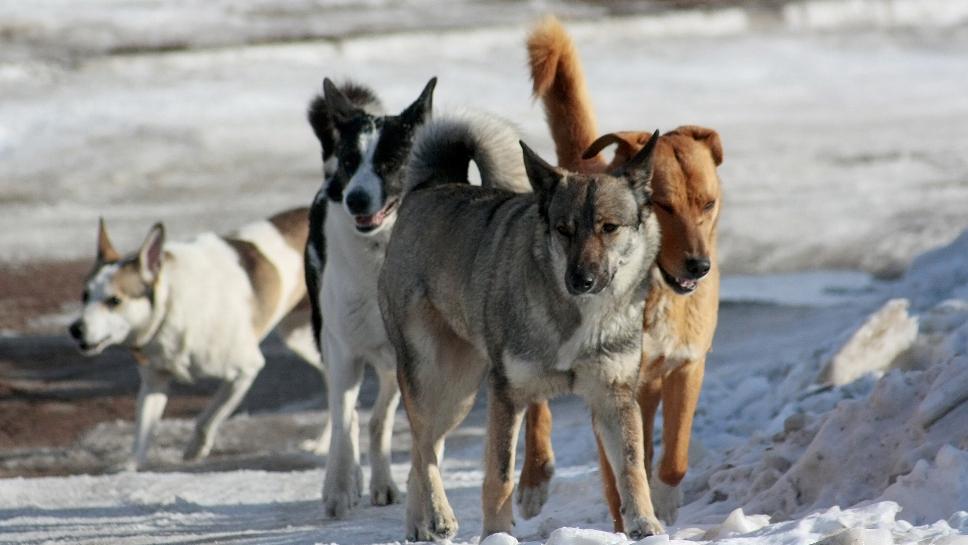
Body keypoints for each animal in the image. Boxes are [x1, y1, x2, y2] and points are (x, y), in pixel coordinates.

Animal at [70, 207, 326, 468]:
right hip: (300, 339)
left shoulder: (246, 370)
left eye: (114, 301)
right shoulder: (154, 382)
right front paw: (130, 467)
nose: (75, 329)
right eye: (85, 296)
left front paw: (194, 450)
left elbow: (207, 418)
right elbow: (142, 432)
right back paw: (321, 443)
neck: (171, 303)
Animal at [304, 75, 436, 516]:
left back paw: (381, 482)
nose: (355, 198)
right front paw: (339, 488)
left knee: (381, 420)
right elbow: (345, 422)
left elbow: (384, 424)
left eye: (391, 161)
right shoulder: (343, 351)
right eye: (350, 161)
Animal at [378, 111, 664, 540]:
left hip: (459, 395)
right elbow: (499, 477)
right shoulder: (507, 396)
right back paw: (440, 516)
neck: (575, 318)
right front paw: (496, 536)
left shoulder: (615, 396)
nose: (581, 280)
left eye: (609, 227)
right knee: (424, 446)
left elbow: (632, 468)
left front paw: (646, 527)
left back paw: (420, 525)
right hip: (433, 379)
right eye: (563, 229)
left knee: (420, 449)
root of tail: (431, 186)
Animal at [520, 14, 724, 528]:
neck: (652, 292)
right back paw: (533, 477)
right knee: (534, 404)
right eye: (664, 206)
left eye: (708, 204)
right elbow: (618, 478)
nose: (699, 266)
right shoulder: (608, 387)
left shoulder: (687, 365)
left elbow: (674, 455)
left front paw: (664, 500)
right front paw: (626, 521)